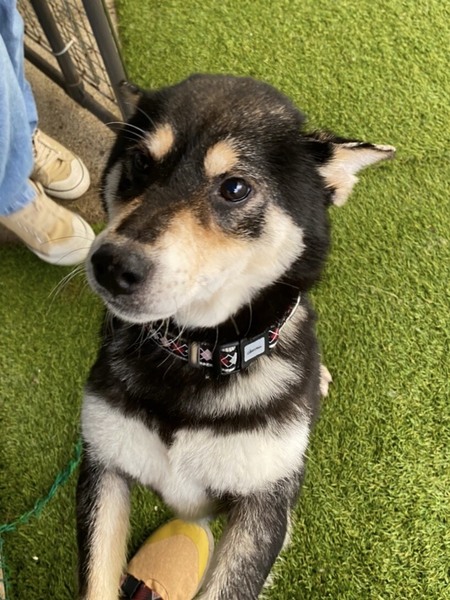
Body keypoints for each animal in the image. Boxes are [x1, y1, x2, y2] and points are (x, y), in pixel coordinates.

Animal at [76, 74, 394, 599]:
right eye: (141, 162)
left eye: (235, 187)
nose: (112, 265)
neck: (197, 351)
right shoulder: (103, 464)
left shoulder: (265, 508)